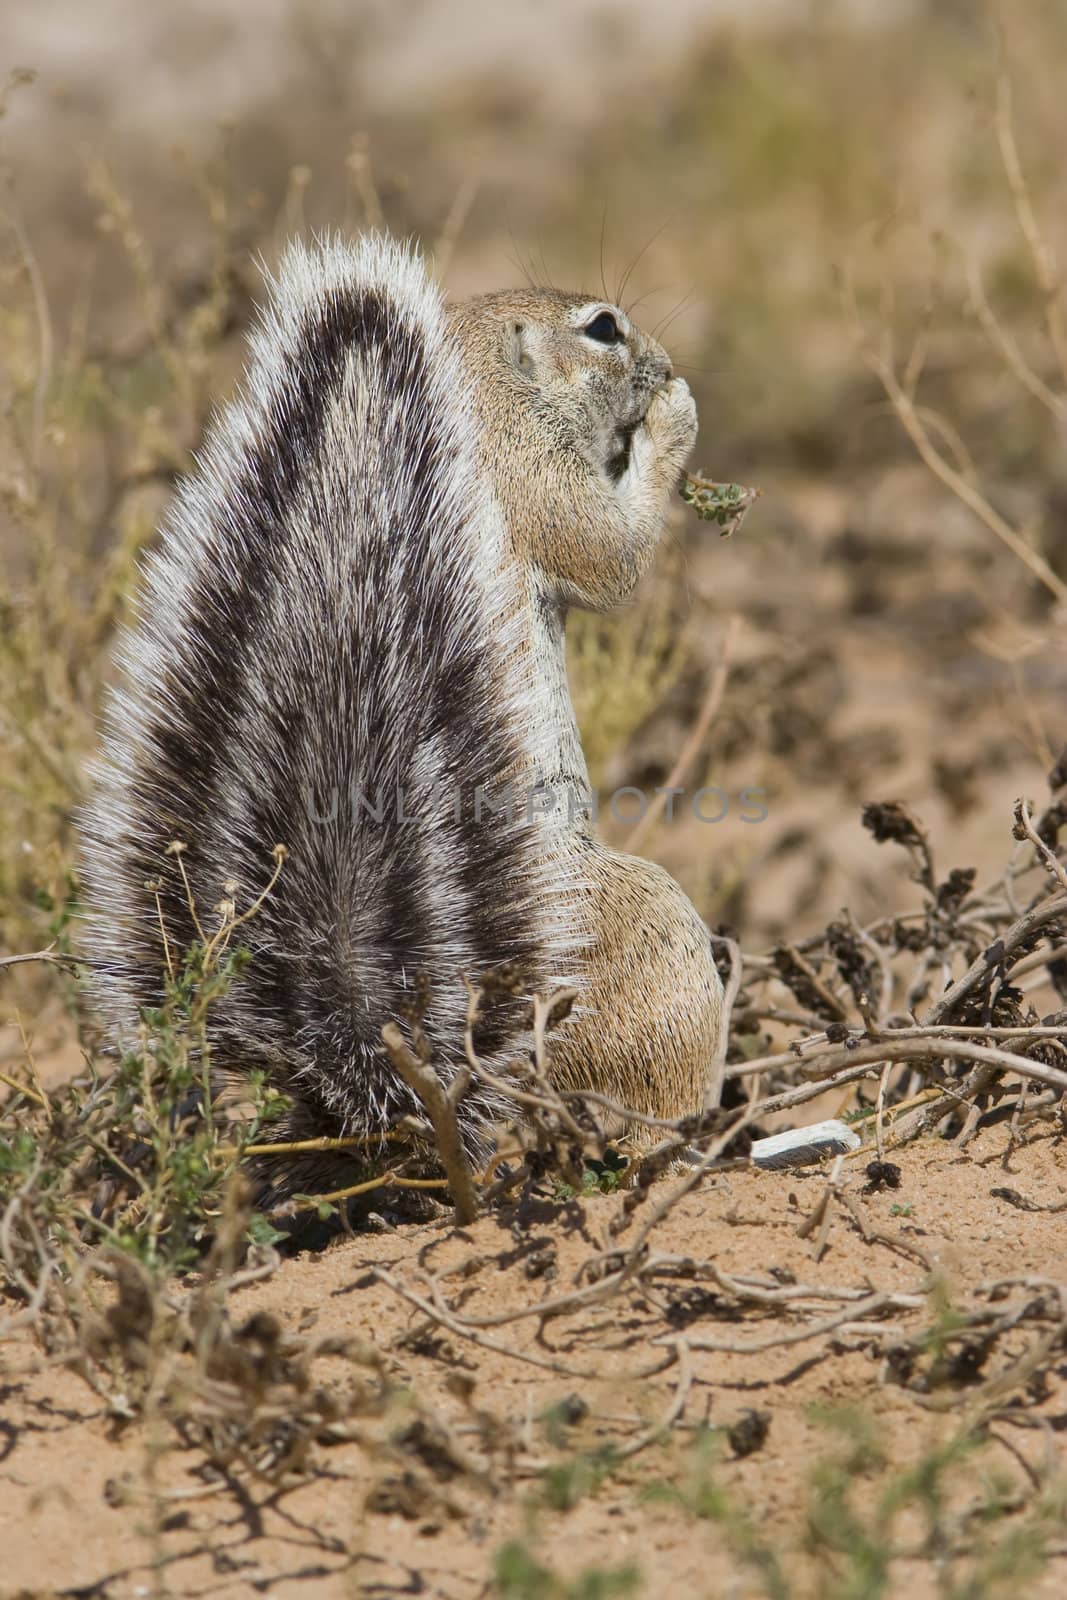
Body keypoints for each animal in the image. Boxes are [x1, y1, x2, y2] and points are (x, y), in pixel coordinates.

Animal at [81, 232, 726, 1196]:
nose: (664, 360)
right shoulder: (533, 480)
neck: (487, 389)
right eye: (604, 328)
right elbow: (609, 558)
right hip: (642, 938)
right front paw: (674, 414)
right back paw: (681, 1141)